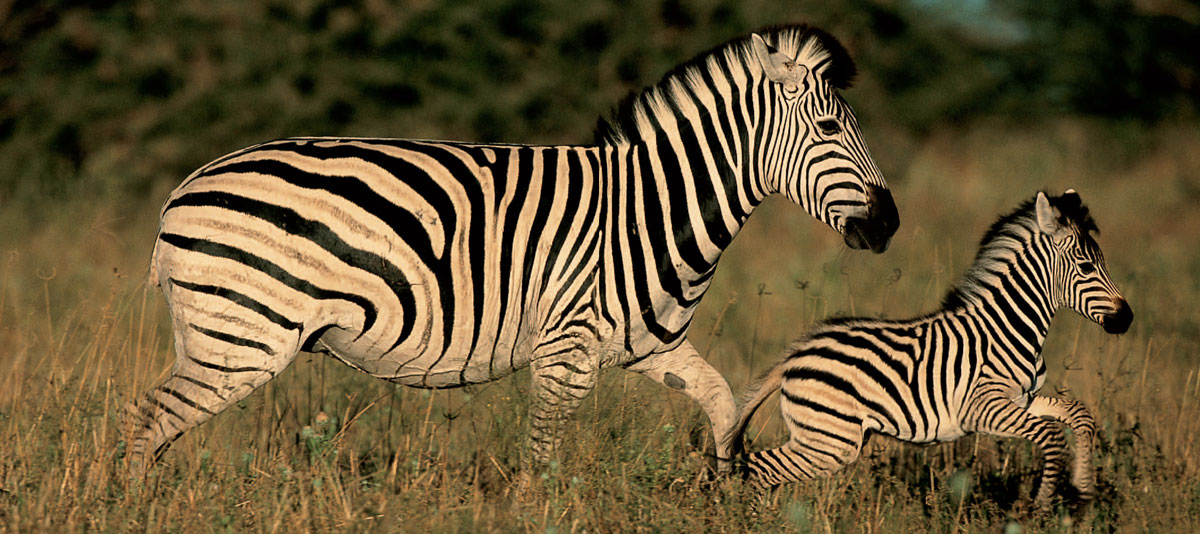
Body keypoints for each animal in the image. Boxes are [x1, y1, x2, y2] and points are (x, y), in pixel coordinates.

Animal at [720, 189, 1132, 508]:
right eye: (1086, 266)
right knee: (758, 468)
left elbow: (1079, 414)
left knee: (758, 468)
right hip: (829, 440)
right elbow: (1051, 436)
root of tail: (794, 354)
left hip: (826, 437)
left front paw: (1083, 489)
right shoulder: (982, 408)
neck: (1009, 326)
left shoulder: (1022, 399)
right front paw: (1044, 503)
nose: (1127, 318)